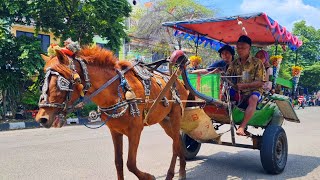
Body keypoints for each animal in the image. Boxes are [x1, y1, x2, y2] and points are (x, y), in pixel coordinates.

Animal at [36, 46, 189, 180]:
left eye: (61, 82)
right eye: (42, 83)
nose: (41, 118)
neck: (117, 92)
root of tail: (179, 82)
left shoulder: (135, 130)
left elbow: (130, 163)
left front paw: (149, 177)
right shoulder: (115, 131)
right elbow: (118, 162)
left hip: (176, 116)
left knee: (175, 145)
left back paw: (171, 174)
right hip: (165, 120)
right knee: (179, 141)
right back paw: (182, 170)